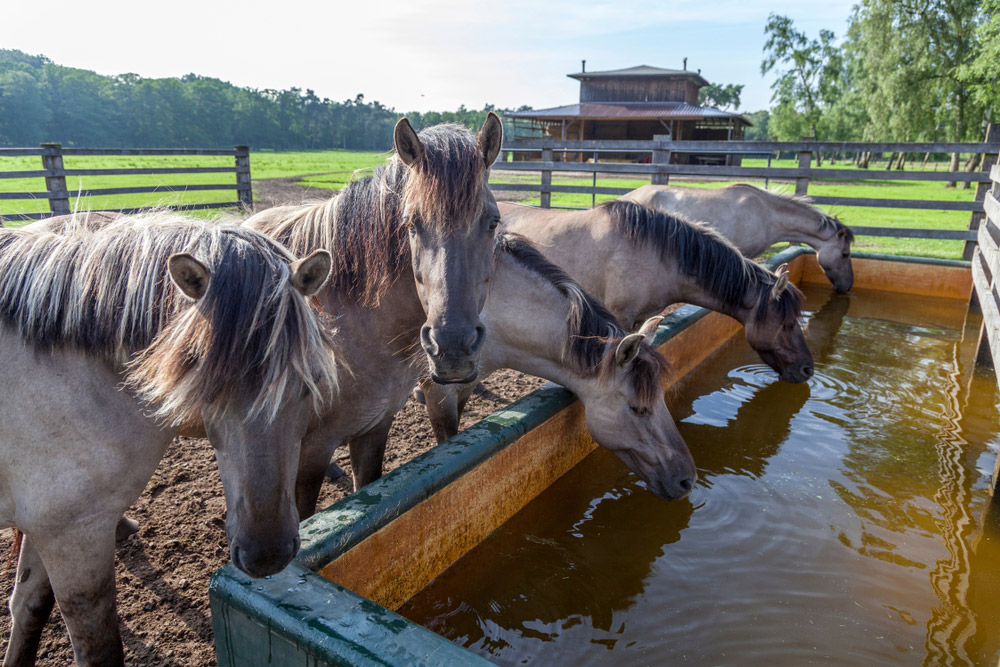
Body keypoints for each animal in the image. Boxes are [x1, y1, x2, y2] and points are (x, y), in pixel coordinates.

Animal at [0, 215, 338, 667]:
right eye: (202, 381)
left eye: (309, 380)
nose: (267, 555)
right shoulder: (75, 534)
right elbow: (98, 648)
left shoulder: (47, 523)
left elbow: (28, 607)